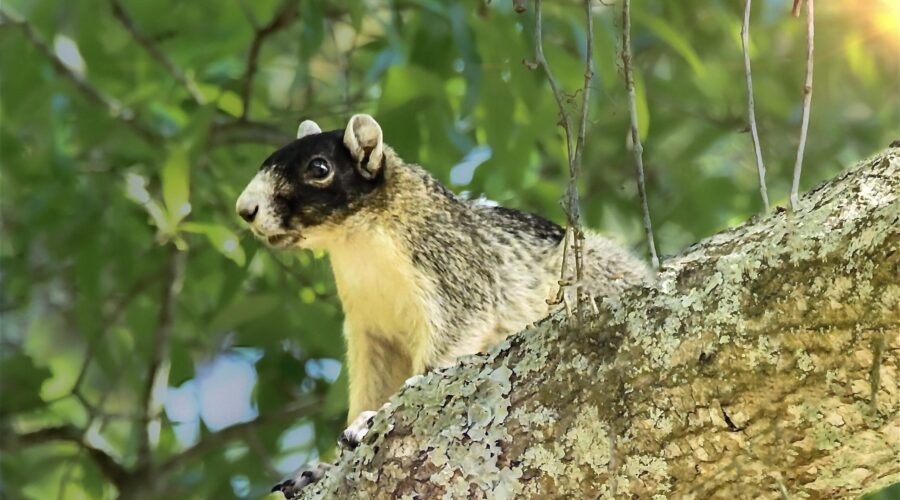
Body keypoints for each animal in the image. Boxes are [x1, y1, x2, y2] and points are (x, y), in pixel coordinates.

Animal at [235, 114, 649, 494]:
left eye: (318, 168)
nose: (245, 209)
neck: (357, 242)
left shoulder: (451, 266)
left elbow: (447, 344)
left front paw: (370, 420)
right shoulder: (371, 330)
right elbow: (375, 380)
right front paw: (323, 466)